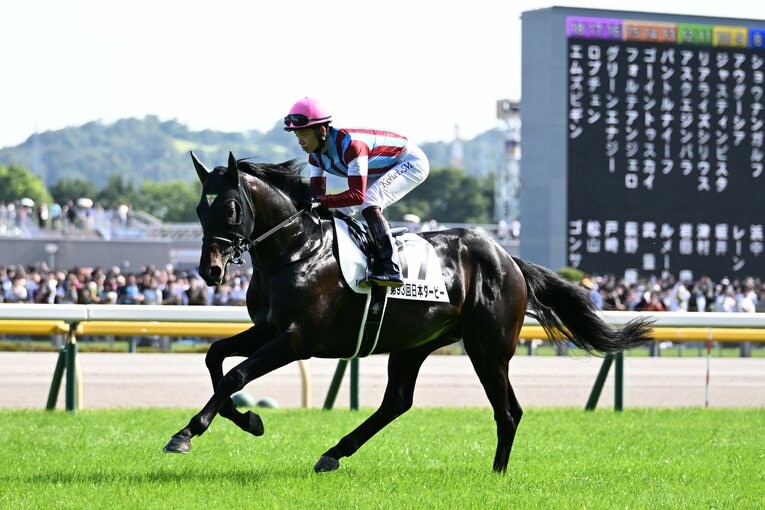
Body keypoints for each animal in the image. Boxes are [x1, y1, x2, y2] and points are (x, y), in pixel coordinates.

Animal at [162, 151, 654, 473]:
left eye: (230, 207)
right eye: (198, 208)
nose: (209, 270)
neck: (296, 251)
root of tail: (509, 259)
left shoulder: (298, 338)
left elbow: (236, 375)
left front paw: (188, 432)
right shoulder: (267, 329)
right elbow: (215, 357)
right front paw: (246, 420)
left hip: (488, 348)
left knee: (508, 410)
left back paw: (497, 474)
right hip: (414, 343)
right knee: (397, 401)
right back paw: (334, 453)